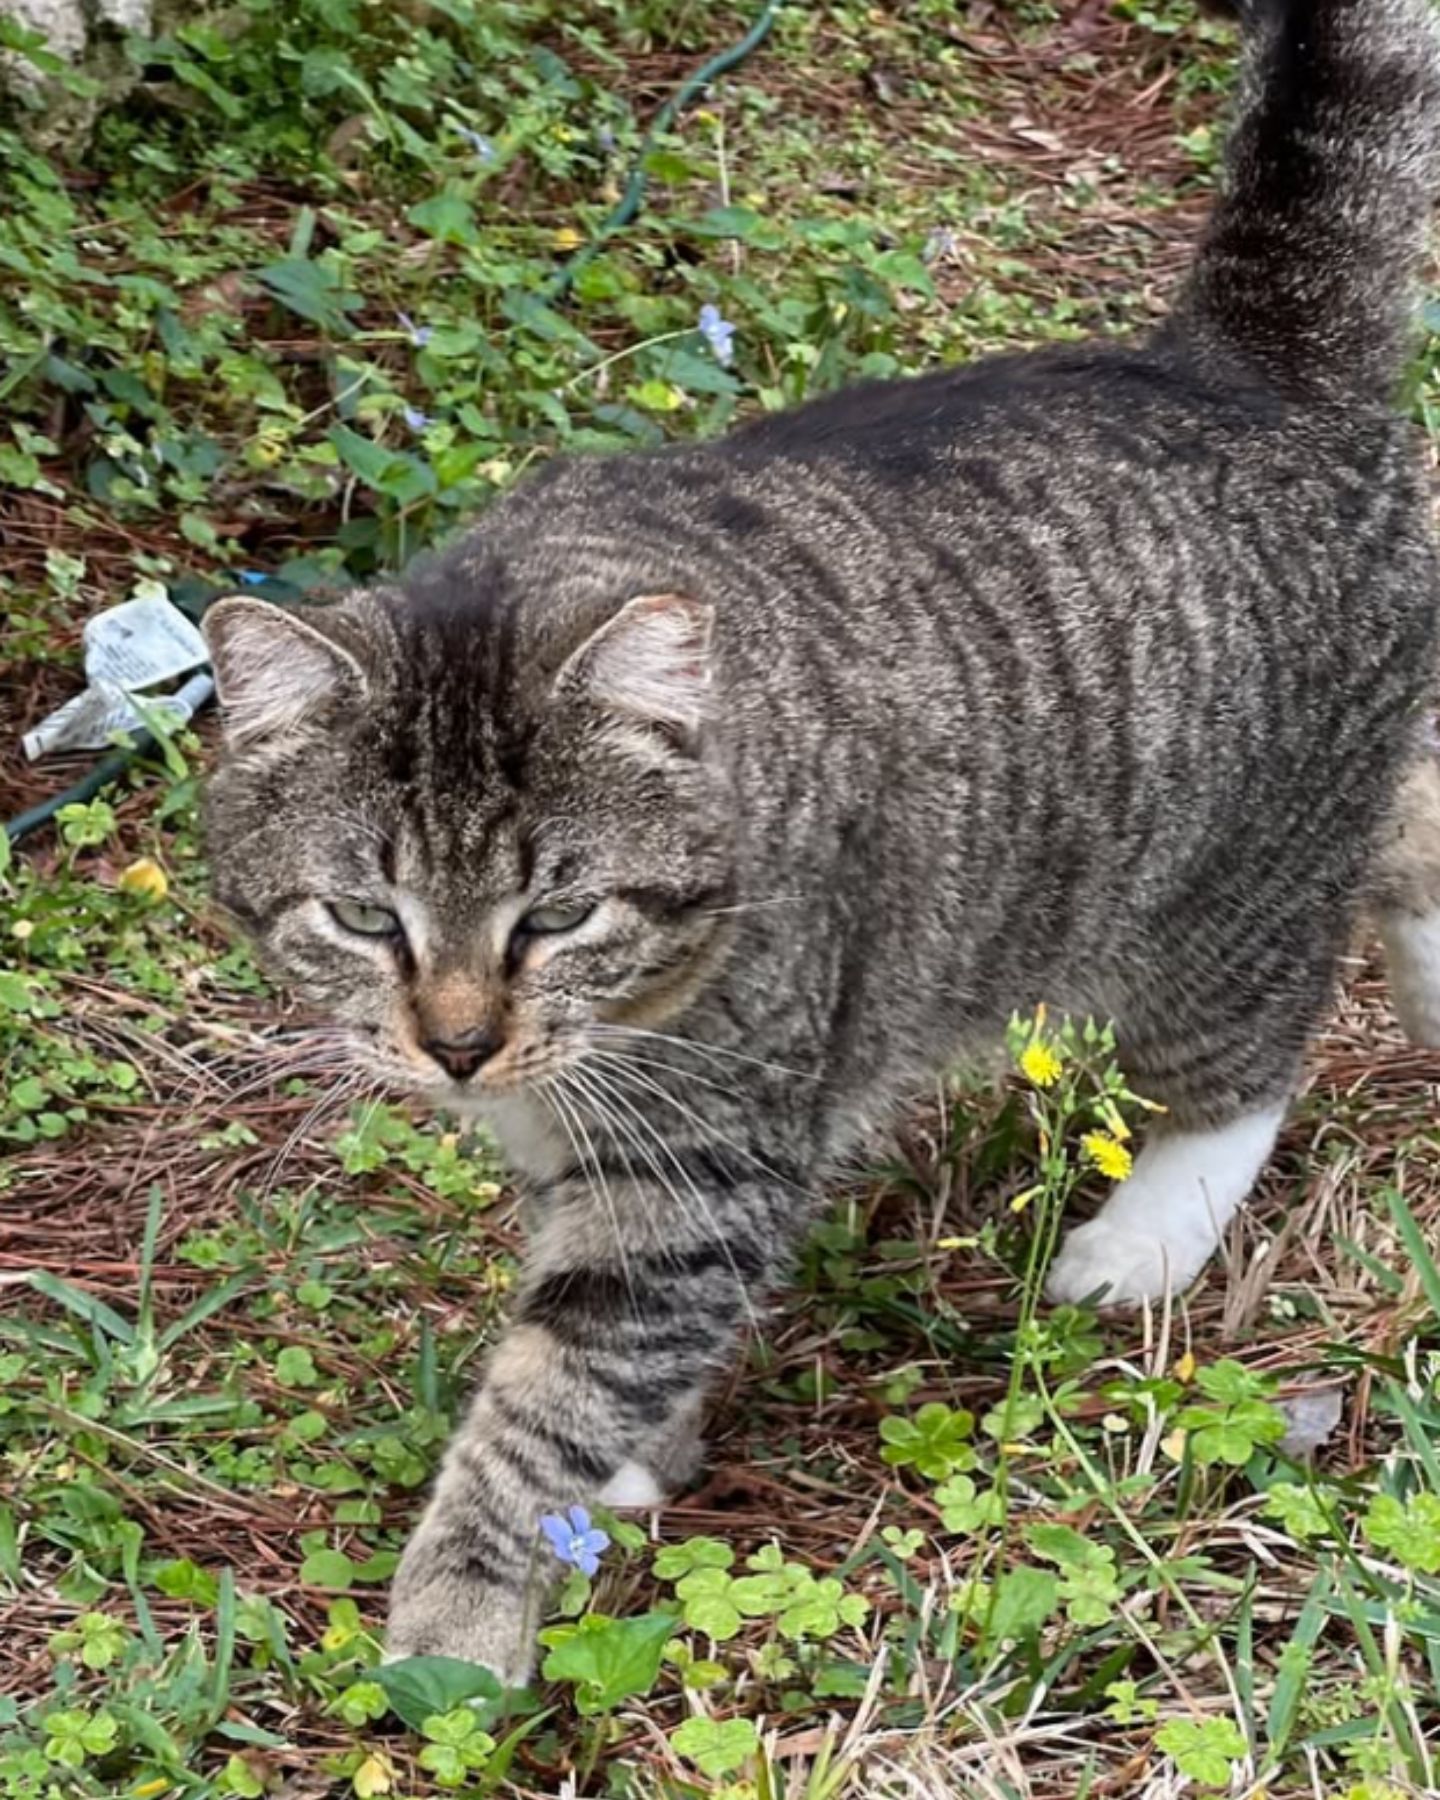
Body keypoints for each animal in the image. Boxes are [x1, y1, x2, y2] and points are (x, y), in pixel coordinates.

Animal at [199, 0, 1440, 1670]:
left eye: (559, 916)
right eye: (363, 918)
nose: (457, 1046)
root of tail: (1231, 362)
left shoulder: (704, 1162)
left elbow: (554, 1390)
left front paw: (462, 1613)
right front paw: (628, 1468)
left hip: (1215, 896)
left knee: (1258, 1052)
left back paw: (1147, 1240)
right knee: (1411, 820)